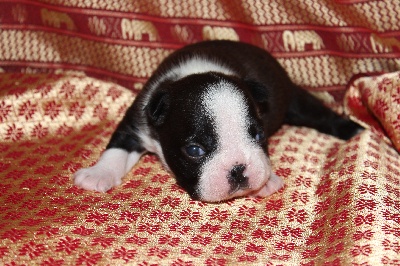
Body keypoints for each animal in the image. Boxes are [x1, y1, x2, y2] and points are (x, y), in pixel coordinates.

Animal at [73, 40, 360, 202]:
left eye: (259, 136)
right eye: (194, 150)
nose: (238, 169)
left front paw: (268, 180)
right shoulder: (137, 120)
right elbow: (116, 148)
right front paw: (98, 174)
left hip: (292, 99)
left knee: (319, 113)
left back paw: (353, 130)